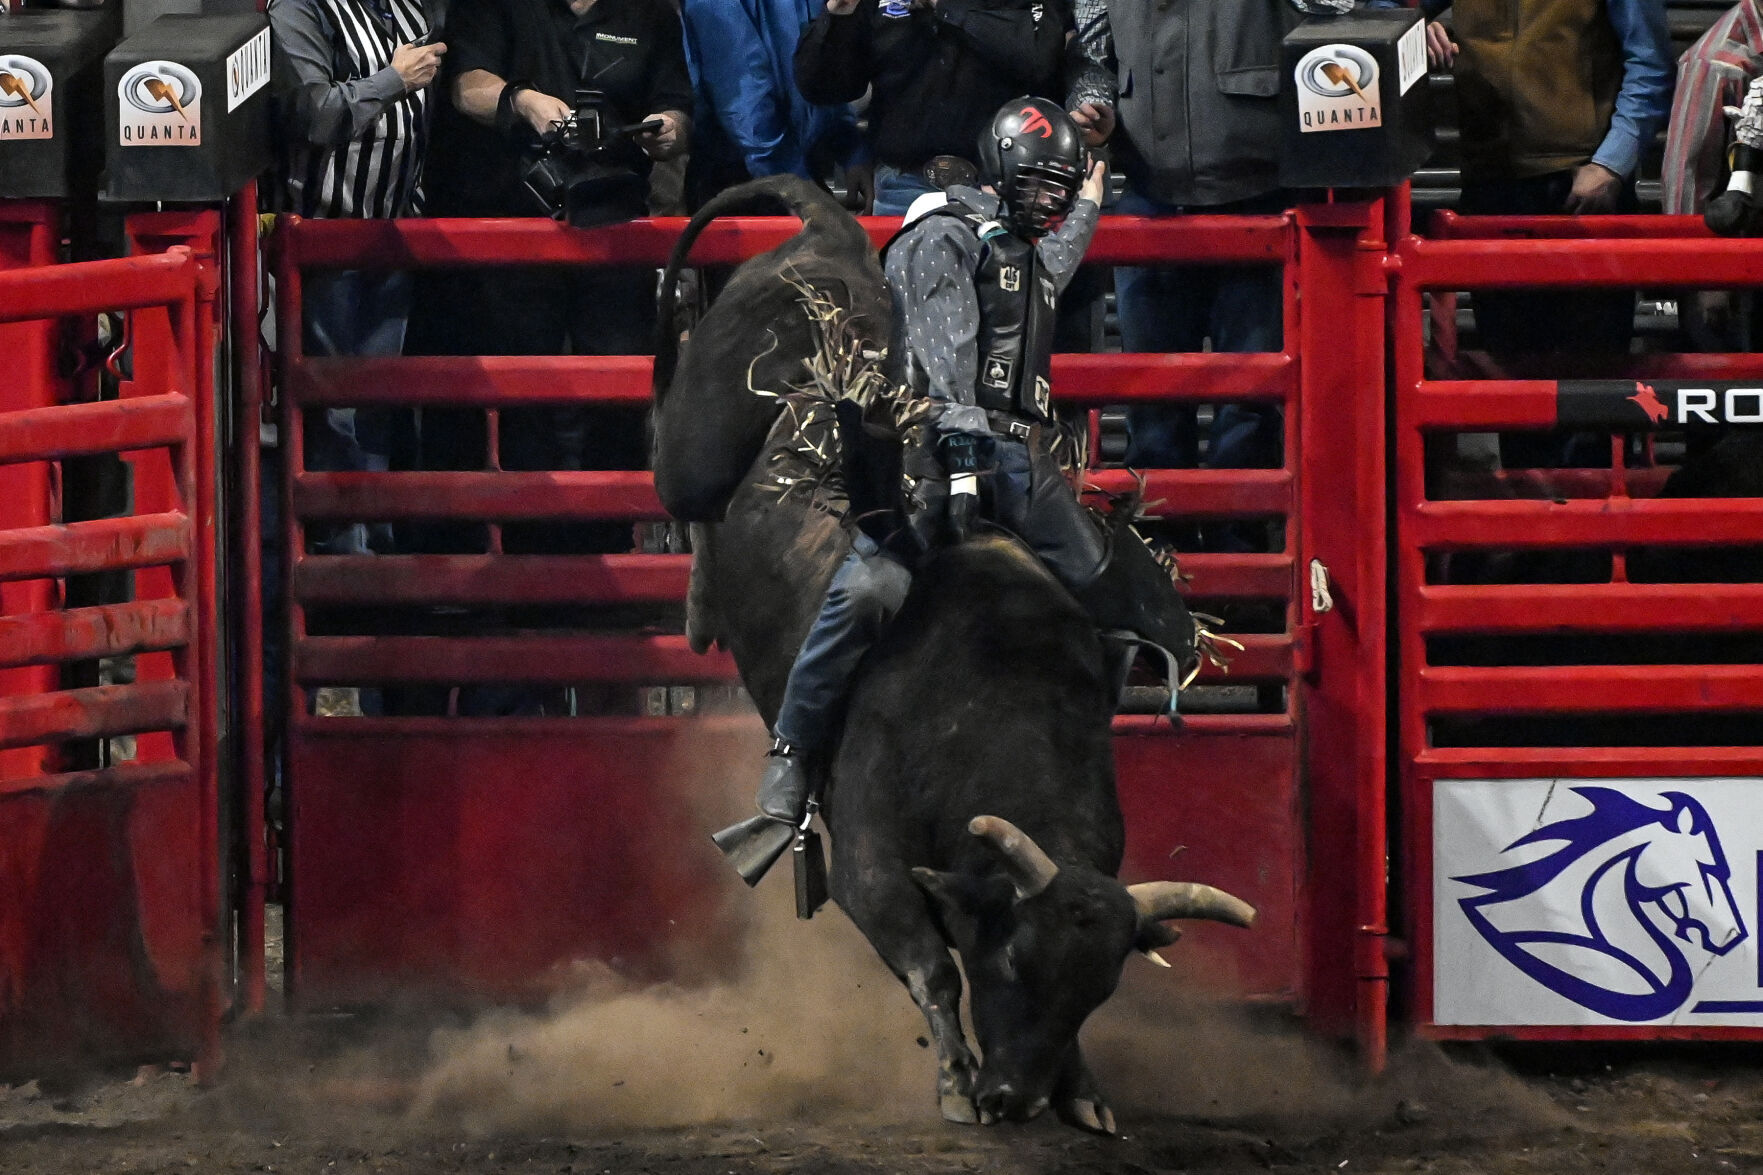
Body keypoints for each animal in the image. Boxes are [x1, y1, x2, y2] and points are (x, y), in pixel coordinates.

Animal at [652, 173, 1255, 1129]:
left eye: (1096, 991)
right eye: (1009, 958)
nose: (1017, 1095)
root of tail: (826, 234)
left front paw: (1083, 1090)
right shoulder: (869, 868)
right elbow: (928, 962)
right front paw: (955, 1082)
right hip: (697, 444)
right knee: (682, 482)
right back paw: (700, 606)